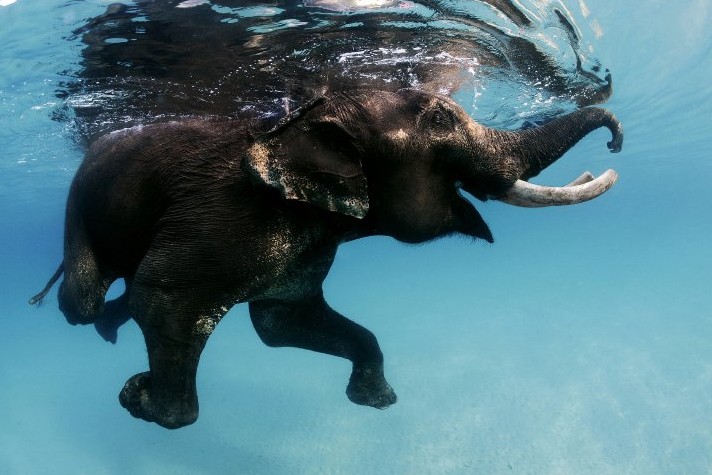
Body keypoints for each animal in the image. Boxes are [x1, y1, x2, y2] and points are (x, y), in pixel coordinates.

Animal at [30, 87, 624, 430]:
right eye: (441, 118)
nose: (615, 143)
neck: (295, 122)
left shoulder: (307, 247)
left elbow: (281, 323)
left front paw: (377, 399)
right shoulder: (223, 217)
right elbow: (165, 299)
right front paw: (140, 401)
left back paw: (111, 323)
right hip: (77, 211)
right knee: (80, 300)